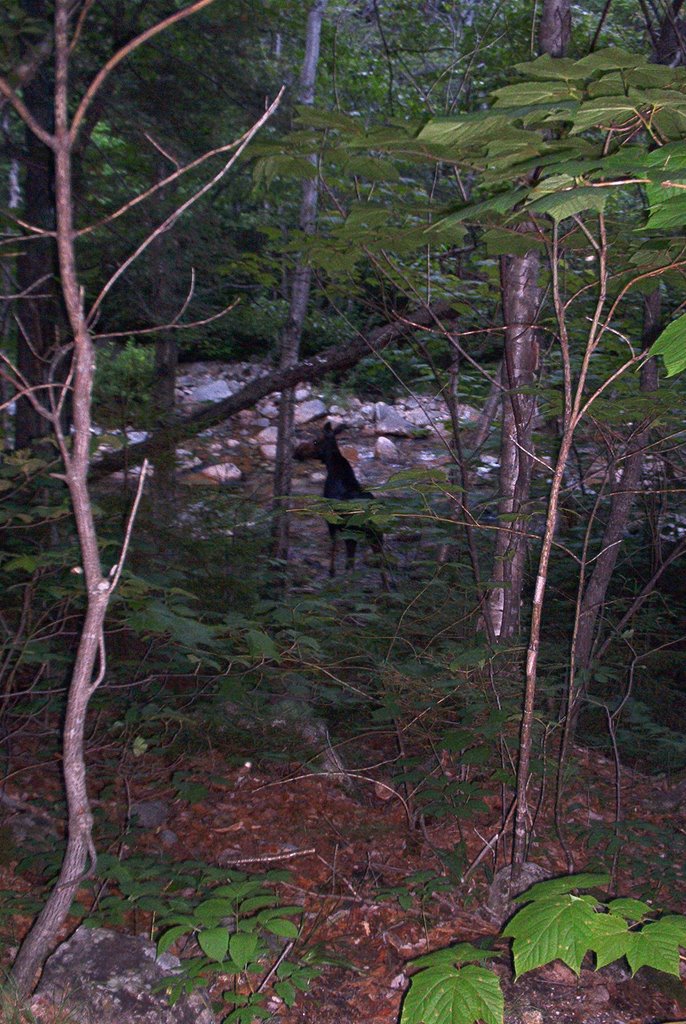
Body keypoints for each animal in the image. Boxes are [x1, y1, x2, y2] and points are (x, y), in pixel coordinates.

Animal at [294, 421, 387, 581]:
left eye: (315, 441)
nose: (296, 452)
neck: (332, 466)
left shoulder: (332, 520)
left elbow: (334, 544)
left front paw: (332, 572)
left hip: (357, 531)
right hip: (376, 535)